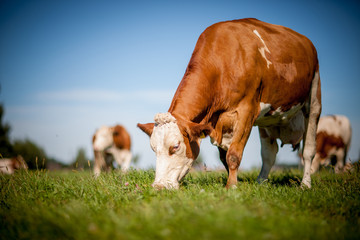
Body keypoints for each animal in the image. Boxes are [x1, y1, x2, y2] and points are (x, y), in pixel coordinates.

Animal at [137, 18, 320, 189]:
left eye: (175, 146)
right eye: (153, 149)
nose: (159, 186)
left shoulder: (246, 111)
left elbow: (233, 155)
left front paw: (231, 187)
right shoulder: (217, 122)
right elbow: (224, 158)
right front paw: (233, 182)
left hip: (314, 99)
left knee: (308, 151)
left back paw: (305, 184)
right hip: (268, 119)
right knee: (269, 154)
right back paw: (261, 182)